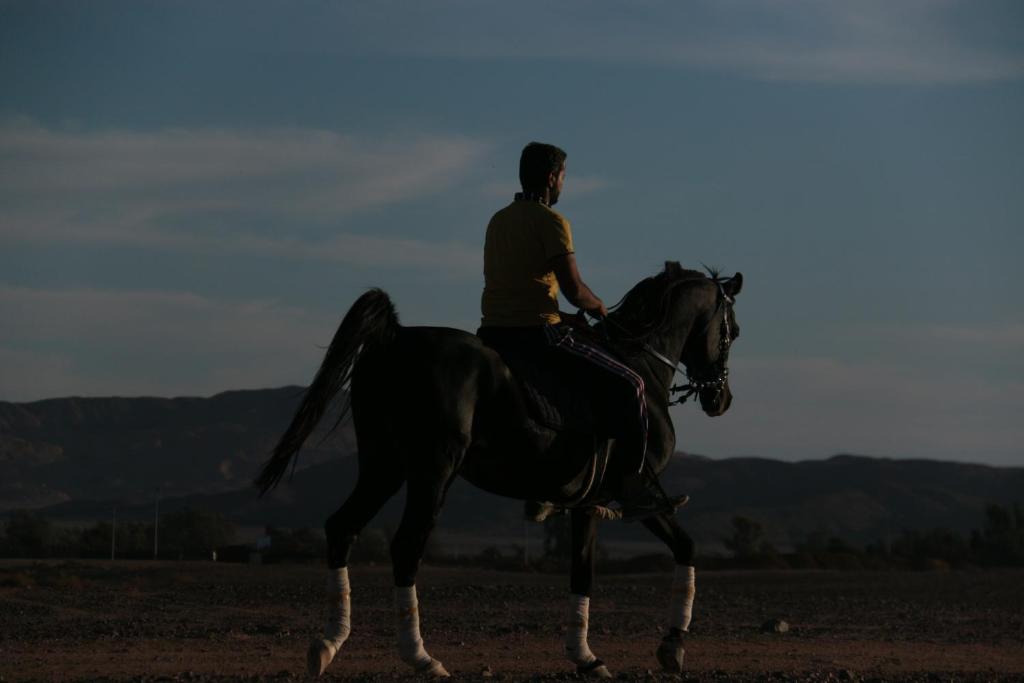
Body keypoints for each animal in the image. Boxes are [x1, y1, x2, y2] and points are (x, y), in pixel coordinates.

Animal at [256, 264, 745, 679]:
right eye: (732, 331)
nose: (721, 399)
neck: (640, 362)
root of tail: (397, 338)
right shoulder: (634, 495)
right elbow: (683, 547)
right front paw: (672, 645)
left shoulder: (587, 503)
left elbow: (583, 572)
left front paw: (585, 657)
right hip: (433, 470)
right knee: (406, 547)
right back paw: (422, 658)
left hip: (383, 466)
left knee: (342, 528)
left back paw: (328, 644)